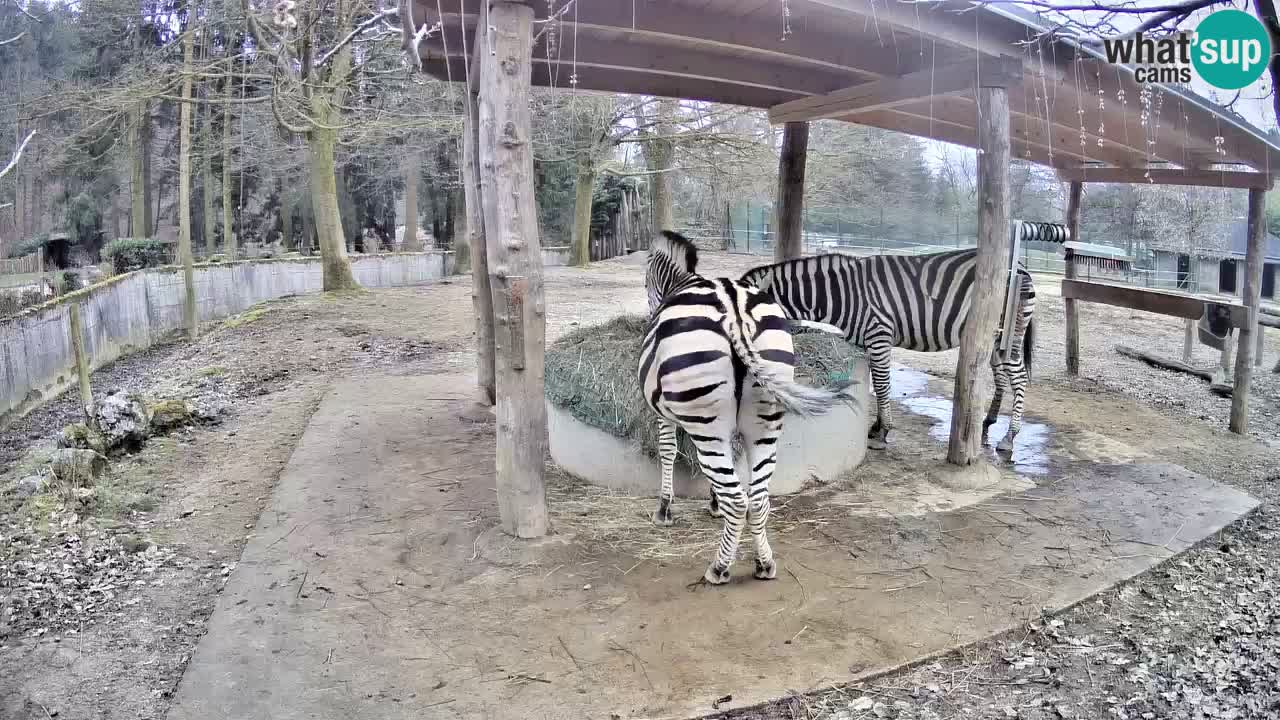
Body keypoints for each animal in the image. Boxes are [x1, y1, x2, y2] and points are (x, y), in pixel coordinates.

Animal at [640, 229, 860, 584]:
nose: (649, 313)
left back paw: (719, 568)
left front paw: (664, 509)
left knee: (738, 499)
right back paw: (764, 563)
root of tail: (735, 313)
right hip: (765, 419)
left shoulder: (662, 414)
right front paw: (712, 504)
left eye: (646, 282)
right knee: (756, 499)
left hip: (709, 425)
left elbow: (668, 451)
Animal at [742, 245, 1029, 448]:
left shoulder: (879, 335)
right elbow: (875, 383)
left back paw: (1010, 437)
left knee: (1020, 378)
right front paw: (877, 425)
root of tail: (1019, 266)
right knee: (1001, 377)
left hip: (1007, 334)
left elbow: (882, 384)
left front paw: (884, 431)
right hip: (994, 340)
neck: (843, 294)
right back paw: (987, 424)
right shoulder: (868, 342)